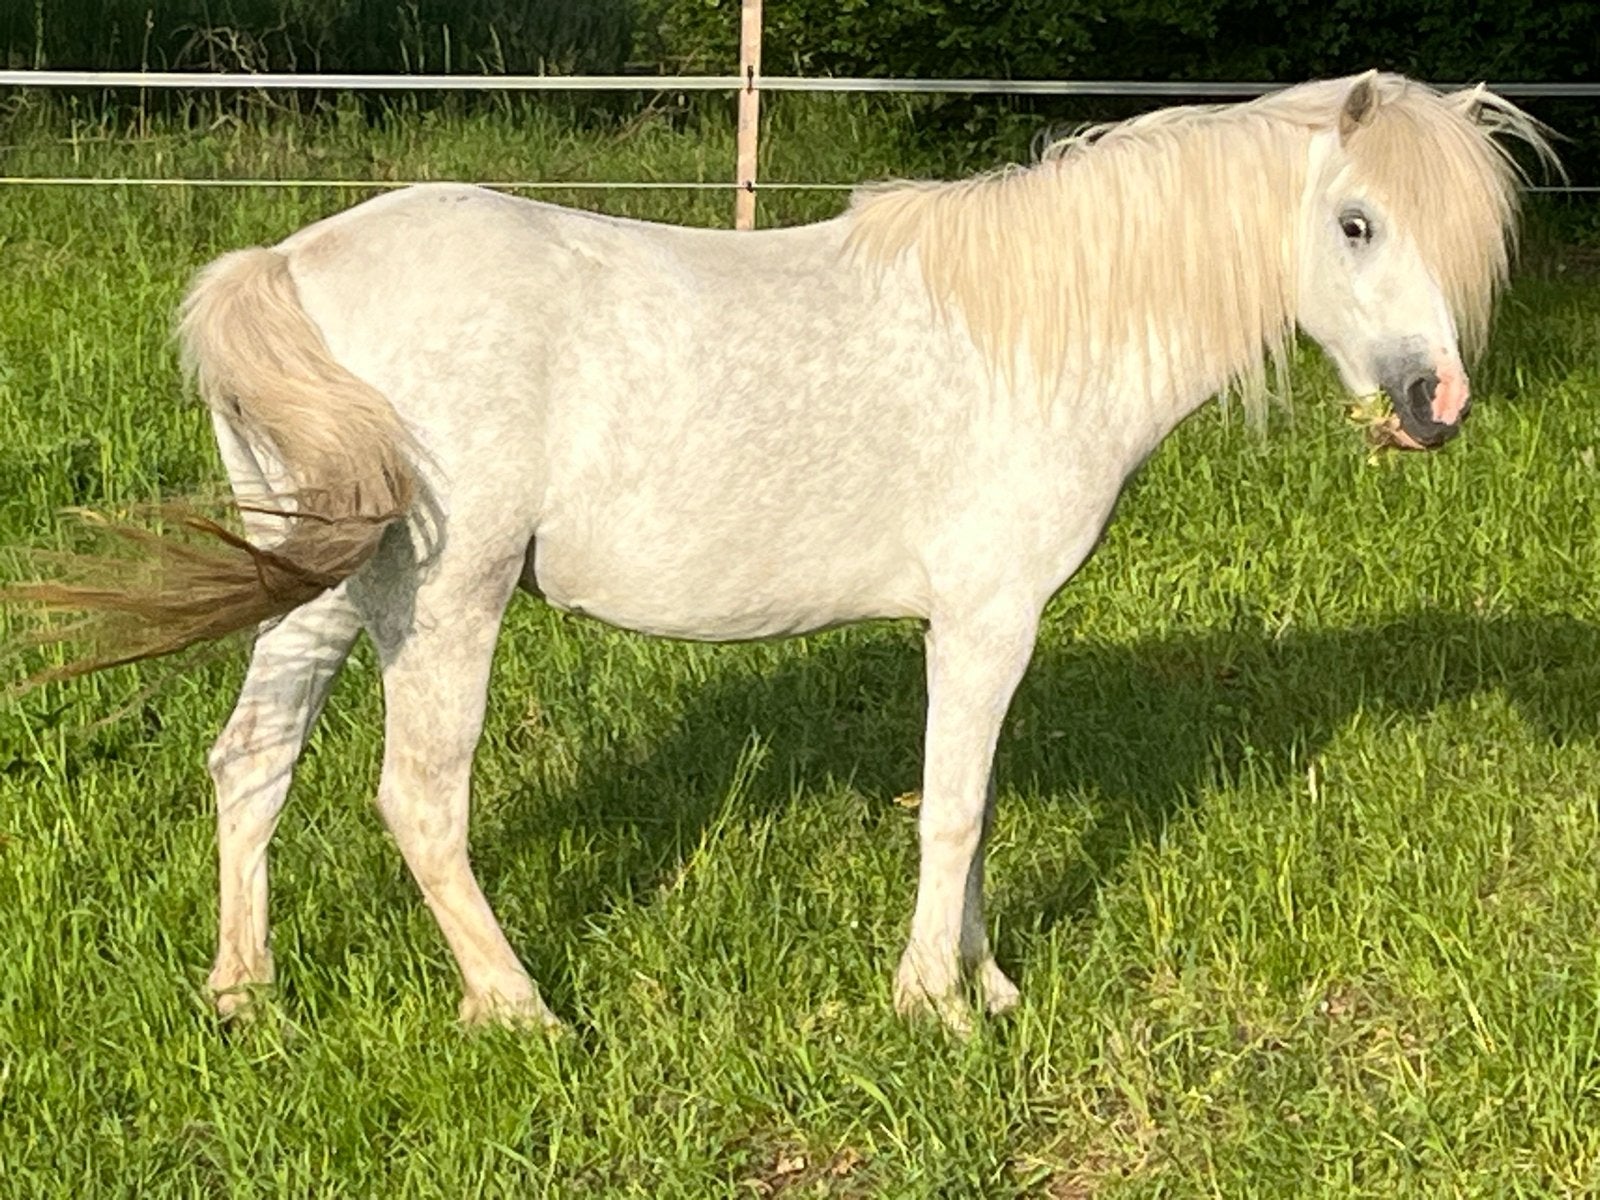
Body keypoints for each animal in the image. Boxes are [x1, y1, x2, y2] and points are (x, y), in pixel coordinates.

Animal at [5, 72, 1553, 1032]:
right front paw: (936, 1006)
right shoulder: (986, 618)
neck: (1039, 328)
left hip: (327, 577)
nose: (1437, 405)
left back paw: (244, 993)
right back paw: (520, 1010)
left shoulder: (976, 632)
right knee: (418, 801)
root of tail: (285, 264)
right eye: (1356, 222)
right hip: (447, 598)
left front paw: (987, 985)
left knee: (251, 759)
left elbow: (971, 805)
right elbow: (956, 812)